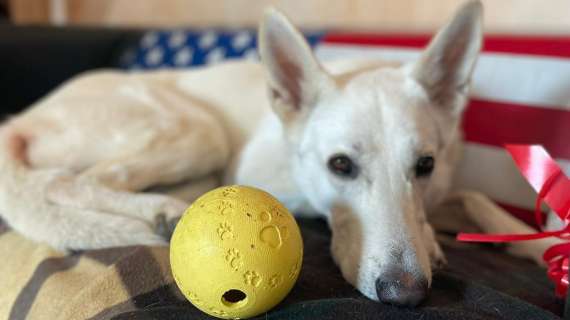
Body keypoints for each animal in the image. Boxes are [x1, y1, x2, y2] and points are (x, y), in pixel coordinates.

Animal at [0, 1, 552, 308]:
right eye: (340, 165)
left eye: (425, 166)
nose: (407, 295)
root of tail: (17, 123)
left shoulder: (447, 186)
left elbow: (477, 198)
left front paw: (536, 241)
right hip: (198, 129)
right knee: (66, 181)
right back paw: (162, 212)